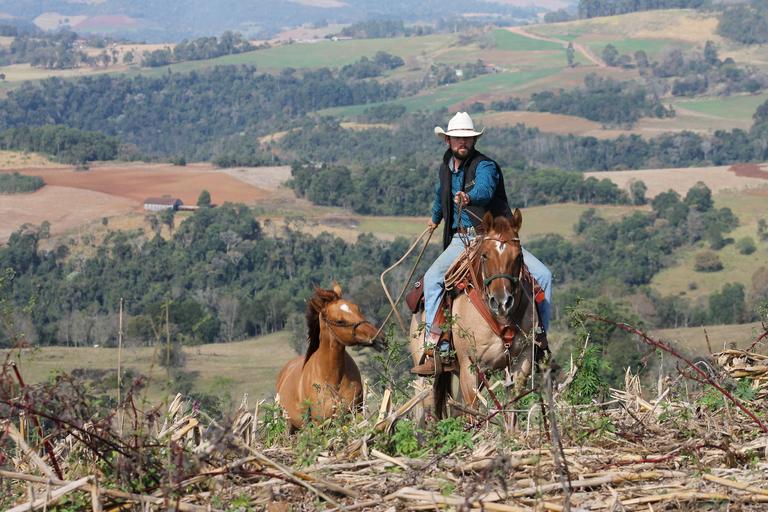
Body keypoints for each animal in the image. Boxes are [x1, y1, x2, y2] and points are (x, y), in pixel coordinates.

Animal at [276, 282, 384, 430]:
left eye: (357, 309)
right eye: (340, 321)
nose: (380, 338)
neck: (332, 377)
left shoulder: (353, 416)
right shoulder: (319, 425)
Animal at [412, 210, 544, 418]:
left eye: (518, 256)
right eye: (485, 255)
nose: (502, 302)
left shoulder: (521, 364)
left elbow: (511, 409)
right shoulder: (470, 367)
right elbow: (473, 411)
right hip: (427, 376)